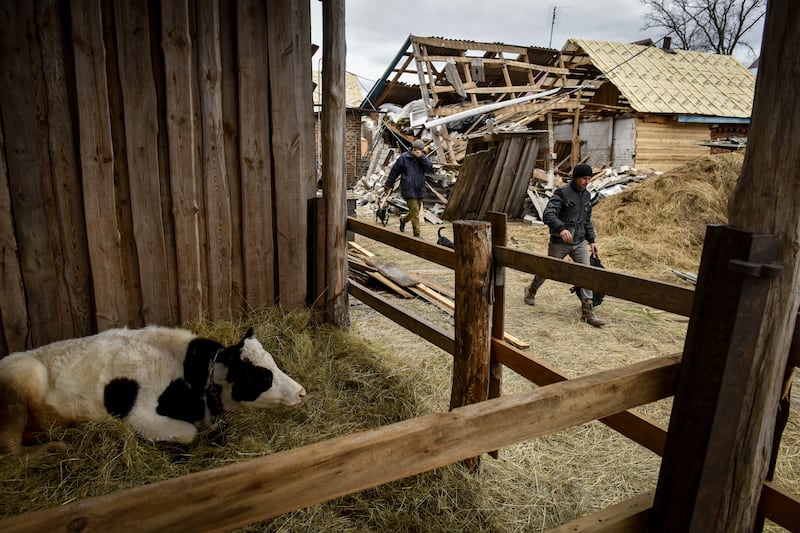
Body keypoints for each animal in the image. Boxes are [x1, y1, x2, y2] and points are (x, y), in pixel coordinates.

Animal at [0, 324, 306, 454]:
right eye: (261, 375)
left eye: (273, 363)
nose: (301, 392)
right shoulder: (140, 417)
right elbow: (187, 433)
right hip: (22, 377)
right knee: (11, 451)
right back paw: (56, 448)